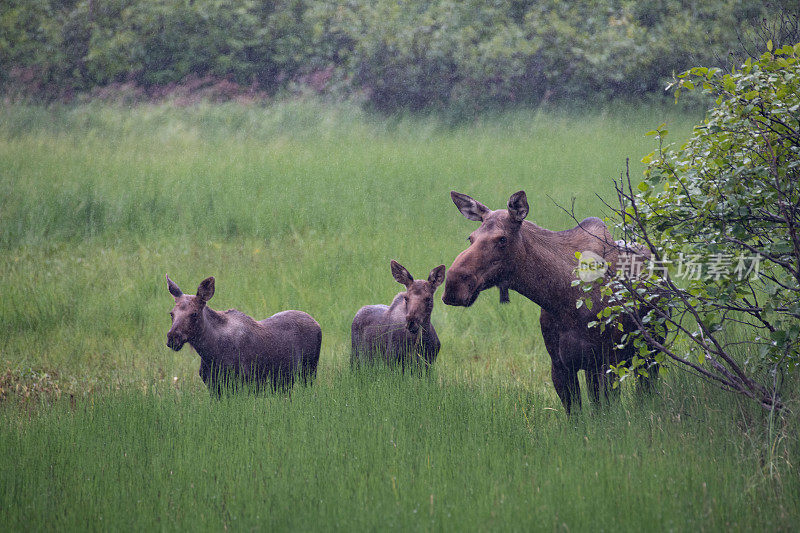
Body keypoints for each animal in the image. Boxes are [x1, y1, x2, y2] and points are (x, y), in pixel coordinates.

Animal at [166, 274, 322, 394]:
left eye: (194, 313)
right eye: (171, 313)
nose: (172, 338)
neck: (209, 352)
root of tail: (316, 323)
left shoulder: (244, 384)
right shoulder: (214, 387)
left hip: (309, 371)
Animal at [440, 189, 652, 414]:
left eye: (502, 239)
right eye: (470, 237)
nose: (453, 285)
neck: (561, 299)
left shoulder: (609, 362)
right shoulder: (560, 365)